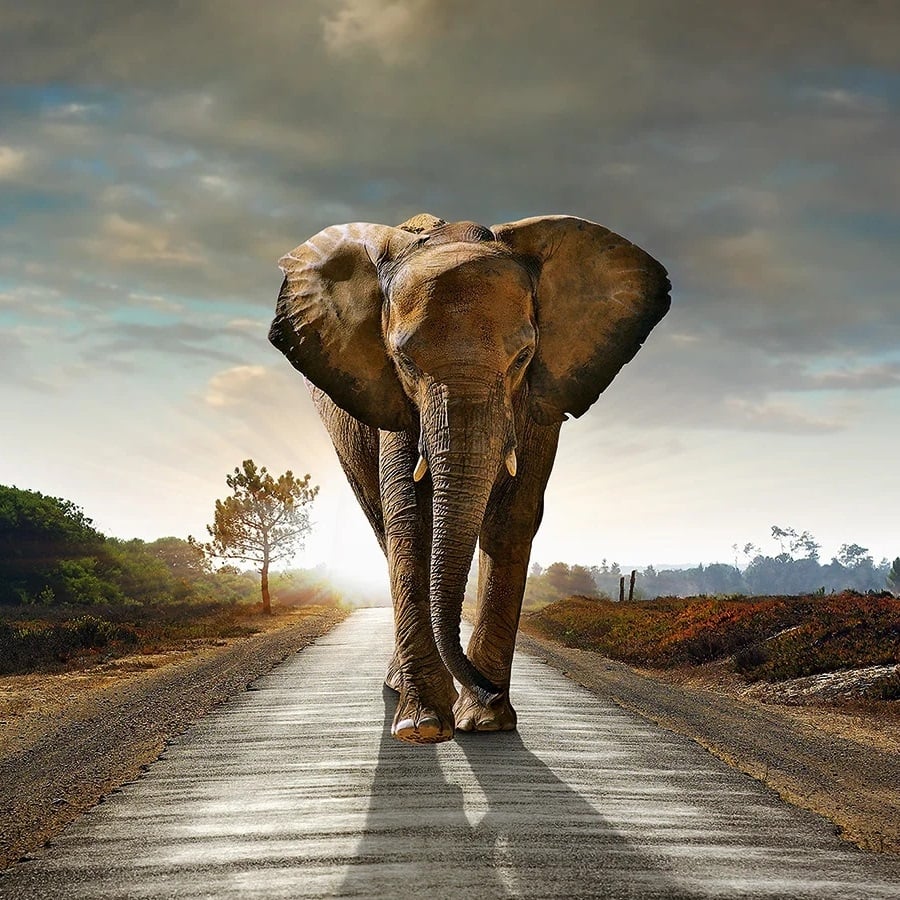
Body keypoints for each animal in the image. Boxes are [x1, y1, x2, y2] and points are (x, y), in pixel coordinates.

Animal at [269, 212, 670, 744]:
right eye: (404, 361)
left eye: (523, 357)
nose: (488, 689)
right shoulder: (394, 399)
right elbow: (410, 516)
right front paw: (423, 727)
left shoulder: (539, 398)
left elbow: (513, 516)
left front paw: (486, 722)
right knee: (380, 523)